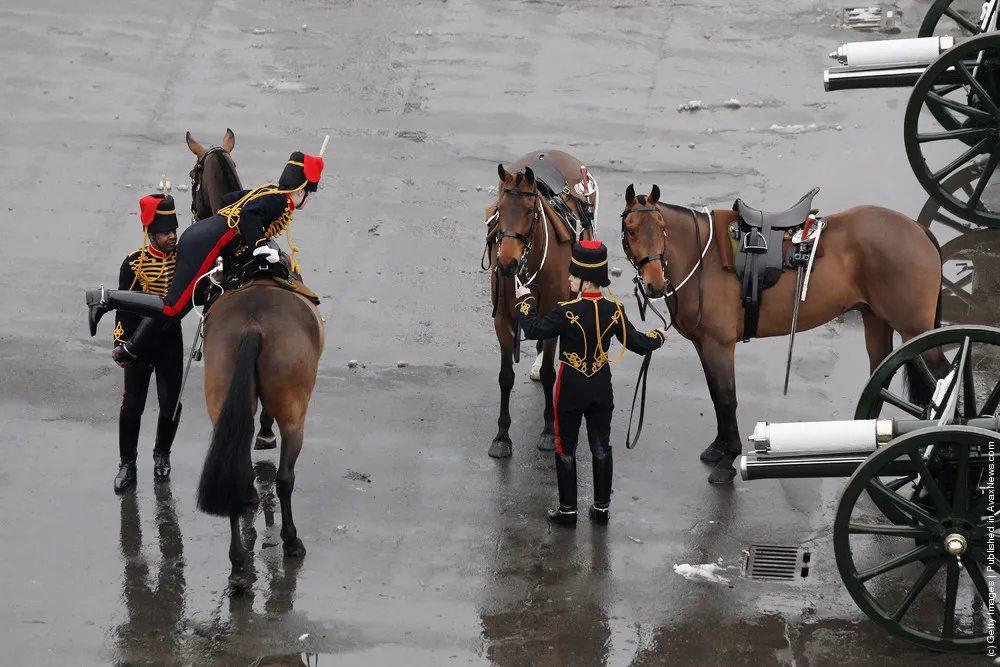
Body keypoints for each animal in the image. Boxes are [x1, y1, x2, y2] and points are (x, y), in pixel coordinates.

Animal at [486, 150, 600, 460]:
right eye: (500, 208)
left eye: (529, 210)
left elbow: (551, 375)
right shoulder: (502, 318)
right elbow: (505, 377)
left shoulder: (554, 308)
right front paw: (501, 436)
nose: (506, 262)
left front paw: (550, 431)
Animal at [620, 184, 948, 486]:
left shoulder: (719, 345)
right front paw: (718, 447)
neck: (704, 258)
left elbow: (726, 398)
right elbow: (716, 396)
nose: (654, 284)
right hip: (876, 322)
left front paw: (729, 458)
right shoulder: (704, 345)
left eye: (662, 229)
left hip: (915, 331)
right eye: (631, 230)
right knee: (879, 375)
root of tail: (917, 229)